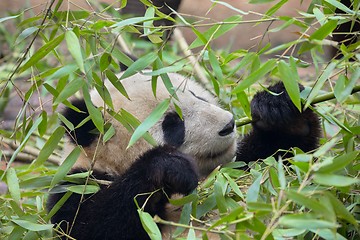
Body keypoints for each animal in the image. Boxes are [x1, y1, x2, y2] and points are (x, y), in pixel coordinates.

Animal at [47, 70, 320, 239]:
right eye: (173, 124)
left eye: (198, 95)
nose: (228, 125)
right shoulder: (77, 186)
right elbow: (91, 225)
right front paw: (169, 167)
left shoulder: (238, 169)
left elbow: (286, 162)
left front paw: (280, 105)